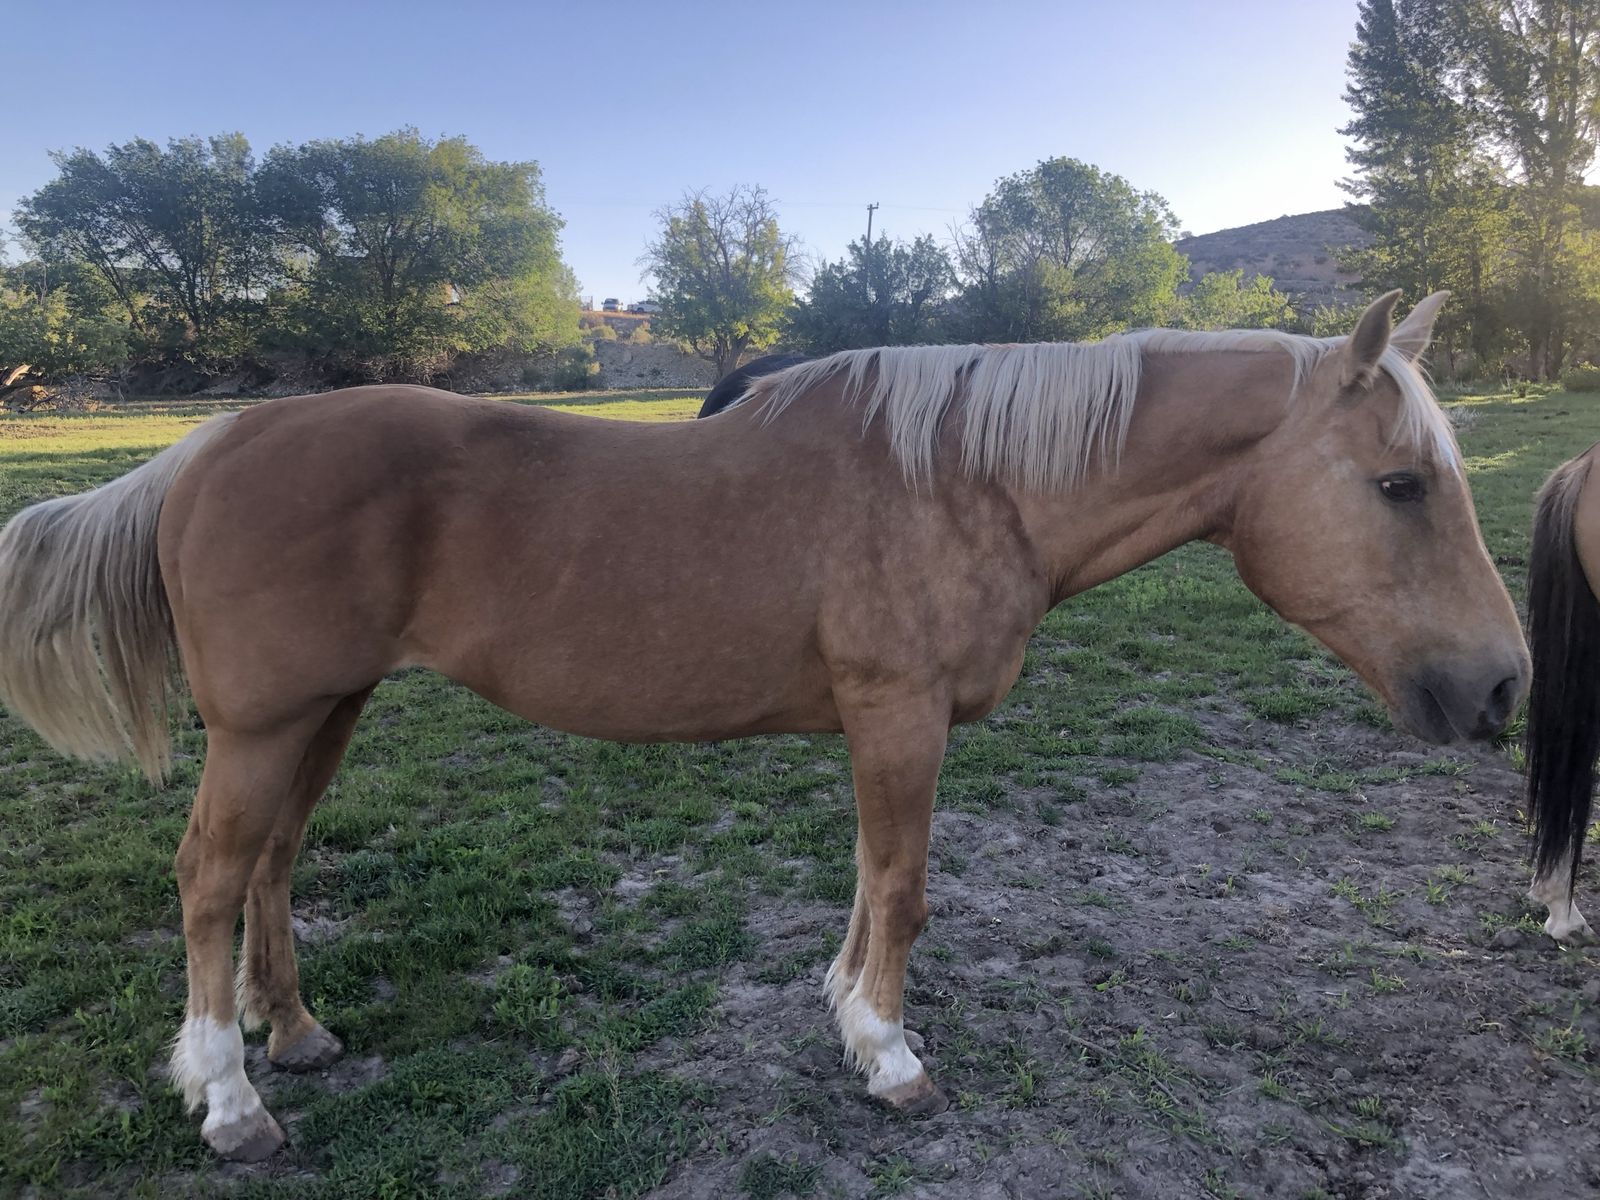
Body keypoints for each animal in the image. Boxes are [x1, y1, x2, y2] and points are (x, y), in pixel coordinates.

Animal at [0, 290, 1529, 1161]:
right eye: (1399, 485)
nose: (1506, 688)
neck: (970, 477)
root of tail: (211, 447)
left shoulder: (880, 722)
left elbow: (866, 882)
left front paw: (848, 1017)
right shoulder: (898, 712)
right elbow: (904, 888)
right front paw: (893, 1061)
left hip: (326, 709)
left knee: (269, 864)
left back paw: (296, 1033)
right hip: (268, 723)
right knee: (210, 876)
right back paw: (230, 1100)